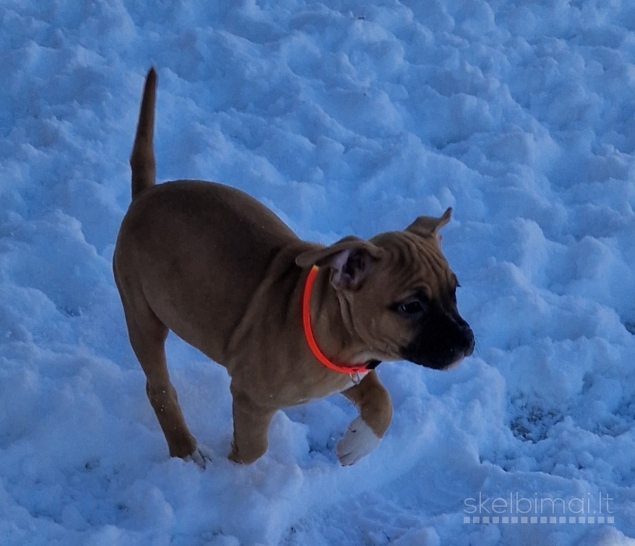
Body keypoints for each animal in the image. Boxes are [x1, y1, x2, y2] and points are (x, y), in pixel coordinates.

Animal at [113, 68, 472, 466]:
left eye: (454, 290)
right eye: (411, 306)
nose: (468, 341)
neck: (334, 328)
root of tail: (145, 195)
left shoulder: (349, 375)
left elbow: (383, 401)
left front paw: (356, 444)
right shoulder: (251, 398)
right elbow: (252, 448)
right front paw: (233, 467)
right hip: (142, 312)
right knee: (158, 386)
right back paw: (185, 449)